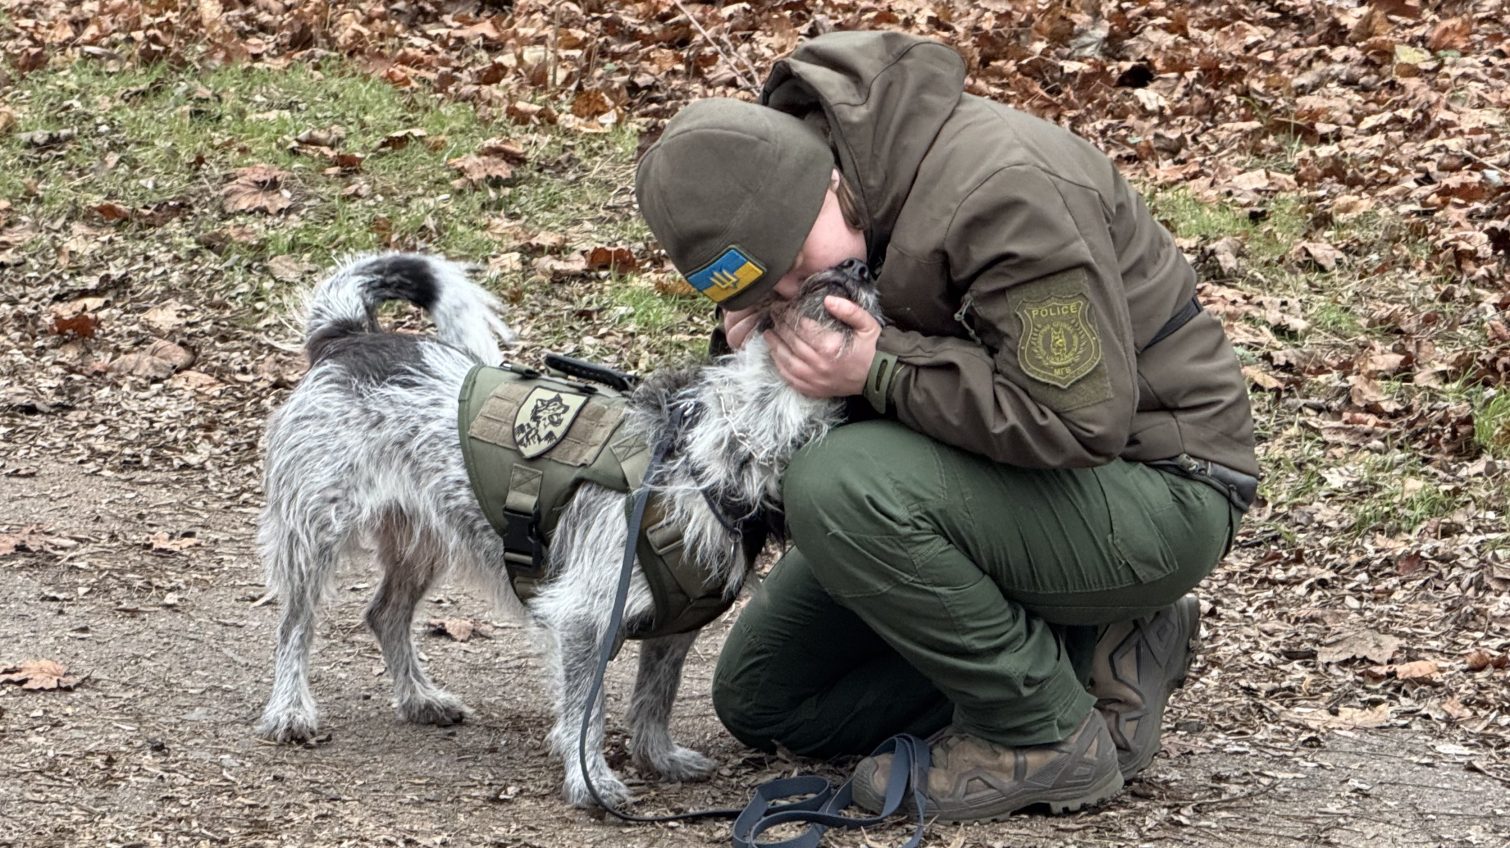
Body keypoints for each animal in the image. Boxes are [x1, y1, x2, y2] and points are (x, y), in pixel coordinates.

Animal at [253, 250, 881, 802]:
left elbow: (656, 696)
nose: (859, 264)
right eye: (793, 284)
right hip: (315, 532)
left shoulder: (678, 625)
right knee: (294, 625)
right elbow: (587, 708)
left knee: (383, 615)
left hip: (421, 540)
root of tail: (349, 337)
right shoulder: (583, 616)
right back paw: (289, 710)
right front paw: (590, 781)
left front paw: (658, 757)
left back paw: (419, 700)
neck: (724, 446)